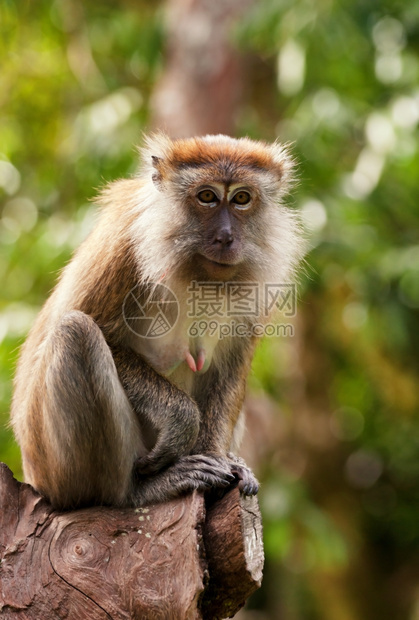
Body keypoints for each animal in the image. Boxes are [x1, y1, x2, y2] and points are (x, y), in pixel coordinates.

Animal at [10, 133, 306, 512]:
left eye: (242, 198)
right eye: (207, 196)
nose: (227, 236)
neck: (194, 270)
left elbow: (231, 363)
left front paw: (219, 458)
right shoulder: (125, 244)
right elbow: (88, 325)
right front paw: (182, 421)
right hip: (53, 468)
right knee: (75, 332)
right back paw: (134, 492)